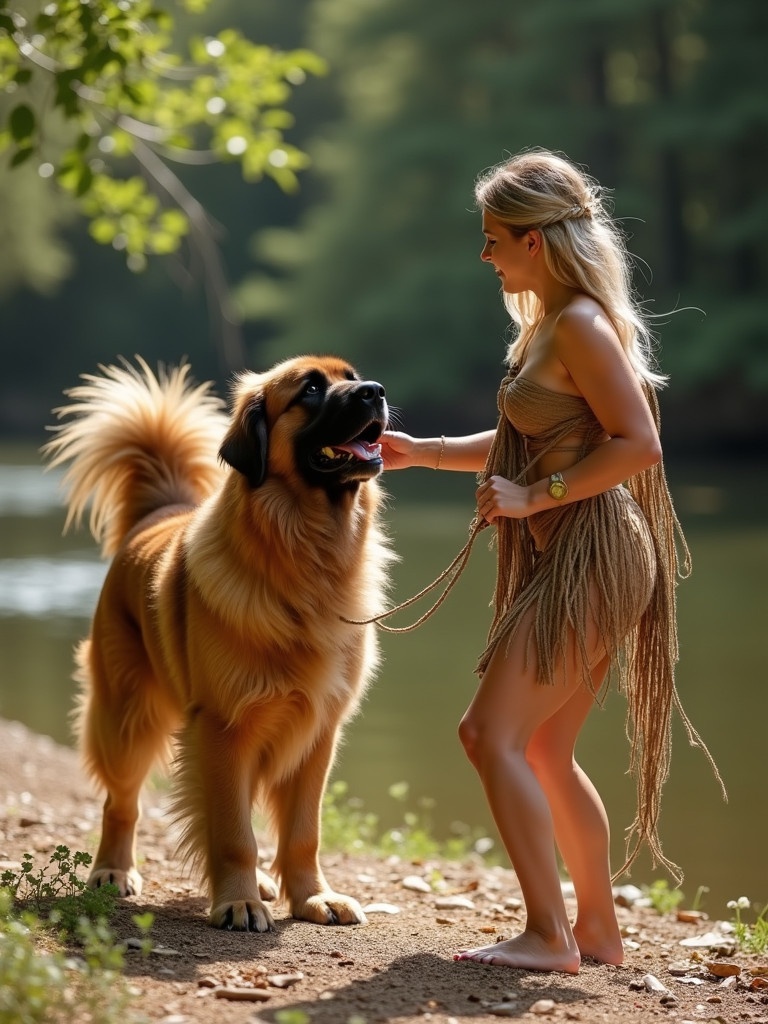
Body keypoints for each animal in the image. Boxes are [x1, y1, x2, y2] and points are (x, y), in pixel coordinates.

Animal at [43, 356, 391, 933]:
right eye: (310, 389)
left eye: (352, 375)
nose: (376, 391)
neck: (306, 557)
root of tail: (157, 511)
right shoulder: (225, 727)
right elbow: (232, 833)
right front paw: (238, 902)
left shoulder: (316, 733)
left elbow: (303, 832)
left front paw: (313, 897)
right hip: (127, 719)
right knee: (121, 803)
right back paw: (113, 870)